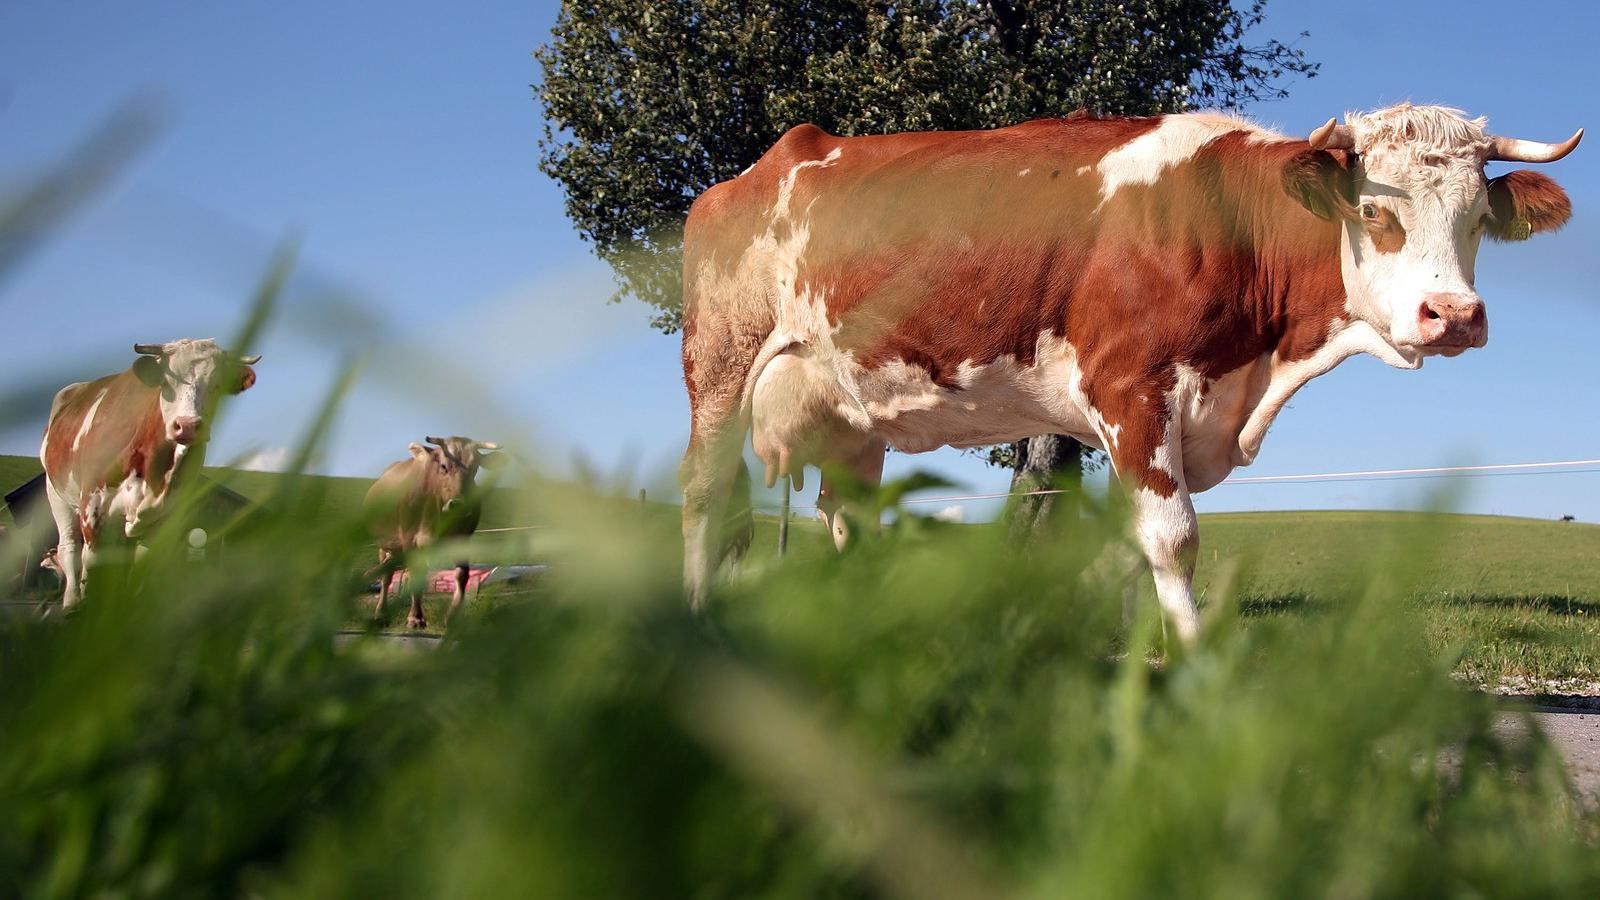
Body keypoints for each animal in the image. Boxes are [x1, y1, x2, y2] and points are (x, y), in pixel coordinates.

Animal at [39, 339, 257, 605]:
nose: (187, 426)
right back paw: (71, 602)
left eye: (218, 385)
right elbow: (93, 573)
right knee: (69, 548)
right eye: (166, 382)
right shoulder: (94, 511)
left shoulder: (163, 521)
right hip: (56, 493)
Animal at [366, 432, 502, 627]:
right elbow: (416, 575)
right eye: (443, 466)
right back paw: (380, 613)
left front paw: (452, 616)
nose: (459, 504)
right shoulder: (410, 539)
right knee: (386, 577)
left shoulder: (462, 539)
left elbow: (462, 575)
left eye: (475, 467)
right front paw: (415, 618)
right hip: (385, 544)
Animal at [675, 103, 1574, 637]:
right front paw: (1194, 666)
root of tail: (759, 167)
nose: (1454, 315)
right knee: (705, 492)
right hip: (720, 368)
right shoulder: (1132, 389)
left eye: (1479, 219)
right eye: (1375, 212)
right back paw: (695, 619)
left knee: (845, 513)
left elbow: (1124, 546)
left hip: (851, 412)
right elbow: (1173, 539)